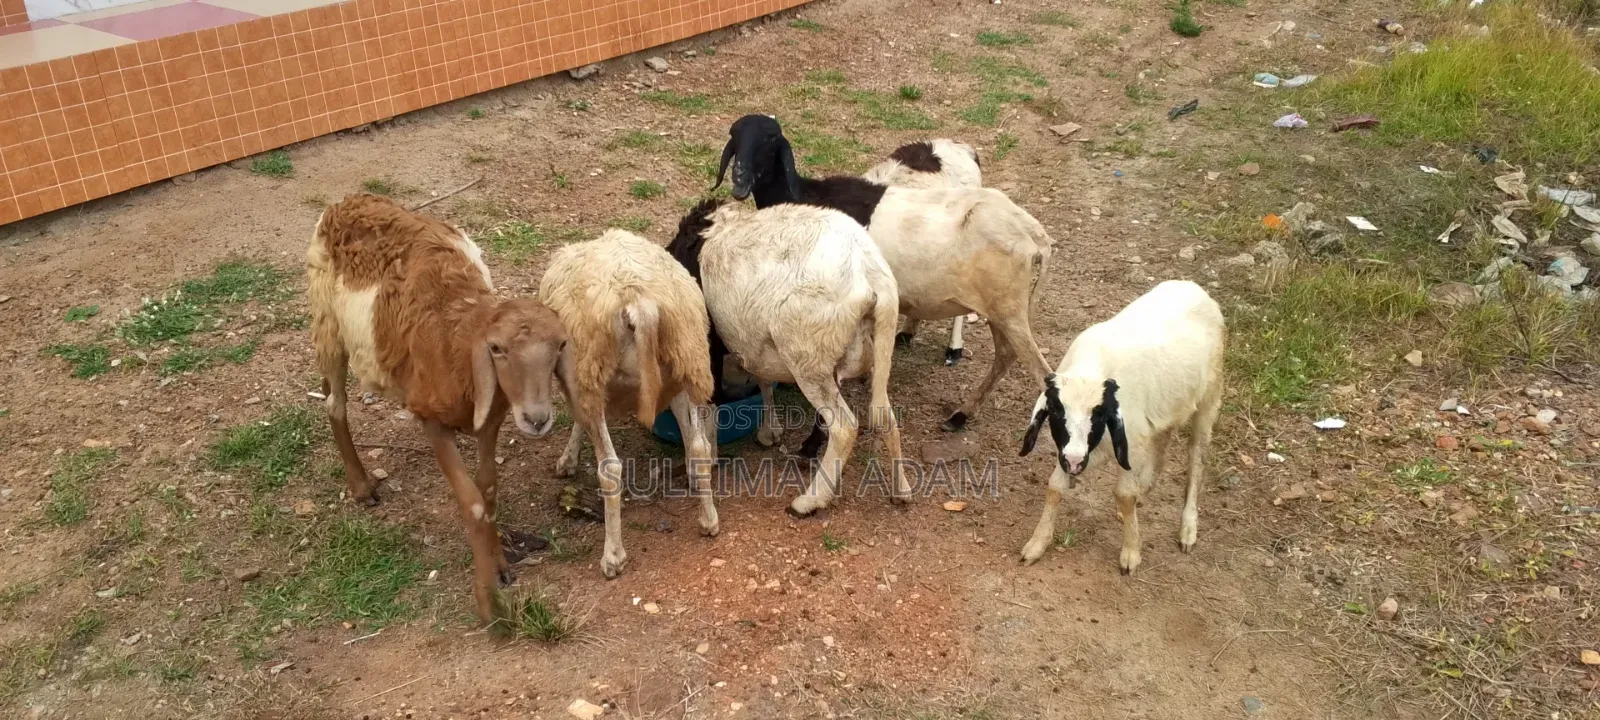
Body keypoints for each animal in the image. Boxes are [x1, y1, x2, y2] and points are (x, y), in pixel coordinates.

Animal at [306, 193, 568, 623]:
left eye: (561, 345)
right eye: (497, 349)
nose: (537, 419)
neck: (455, 341)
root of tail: (349, 201)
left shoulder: (489, 417)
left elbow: (488, 489)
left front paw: (499, 566)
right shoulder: (431, 419)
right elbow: (472, 503)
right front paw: (487, 602)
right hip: (327, 324)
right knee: (334, 404)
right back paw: (361, 486)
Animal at [538, 230, 720, 578]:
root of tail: (639, 301)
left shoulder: (580, 380)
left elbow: (580, 419)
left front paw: (568, 459)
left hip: (592, 364)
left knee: (611, 467)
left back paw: (613, 556)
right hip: (688, 358)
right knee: (701, 445)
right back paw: (708, 519)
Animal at [666, 198, 910, 516]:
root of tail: (871, 276)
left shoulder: (710, 347)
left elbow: (711, 405)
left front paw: (707, 460)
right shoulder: (756, 342)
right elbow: (762, 380)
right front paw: (769, 431)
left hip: (807, 359)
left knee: (844, 428)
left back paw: (810, 500)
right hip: (876, 350)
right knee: (884, 415)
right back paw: (900, 489)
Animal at [1016, 280, 1226, 574]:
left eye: (1099, 413)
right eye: (1056, 410)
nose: (1075, 460)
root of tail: (1193, 287)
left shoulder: (1131, 444)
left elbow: (1123, 495)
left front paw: (1131, 553)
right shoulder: (1069, 448)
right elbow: (1055, 486)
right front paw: (1037, 543)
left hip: (1209, 397)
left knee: (1197, 458)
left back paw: (1187, 529)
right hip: (1168, 403)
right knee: (1163, 438)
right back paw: (1146, 491)